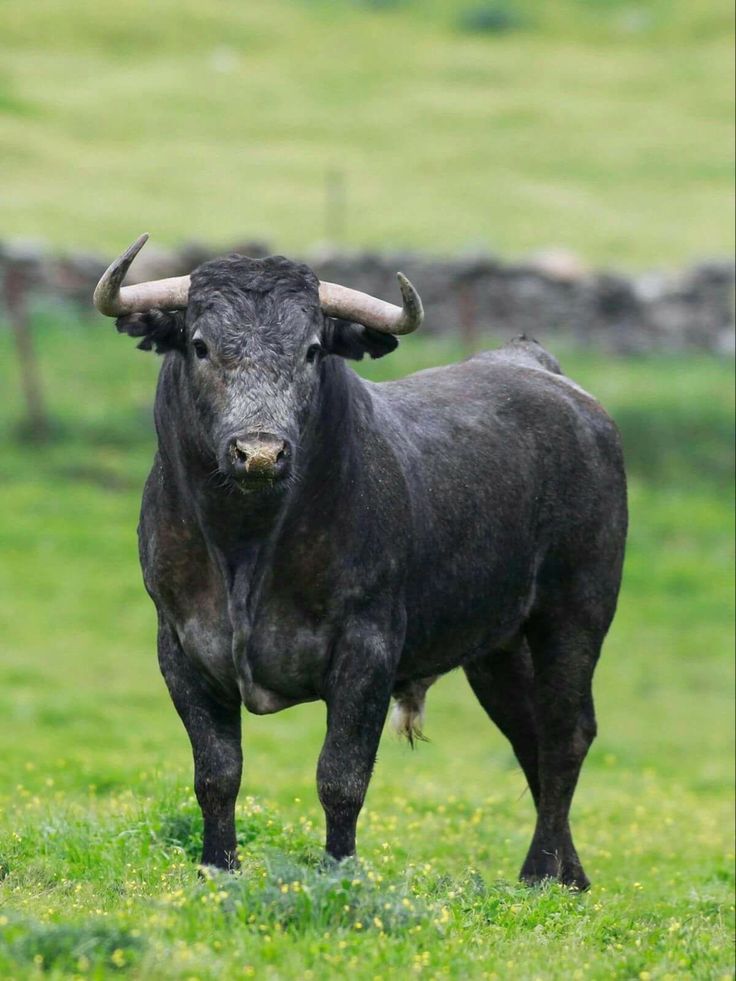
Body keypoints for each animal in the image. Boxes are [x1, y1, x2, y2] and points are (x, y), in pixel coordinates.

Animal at [93, 235, 628, 888]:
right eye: (199, 345)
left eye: (312, 349)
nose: (260, 452)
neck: (246, 545)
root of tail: (540, 370)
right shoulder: (181, 645)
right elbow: (217, 772)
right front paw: (218, 867)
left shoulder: (367, 645)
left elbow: (341, 775)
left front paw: (339, 871)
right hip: (499, 648)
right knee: (529, 735)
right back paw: (563, 871)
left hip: (575, 613)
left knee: (565, 732)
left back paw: (547, 872)